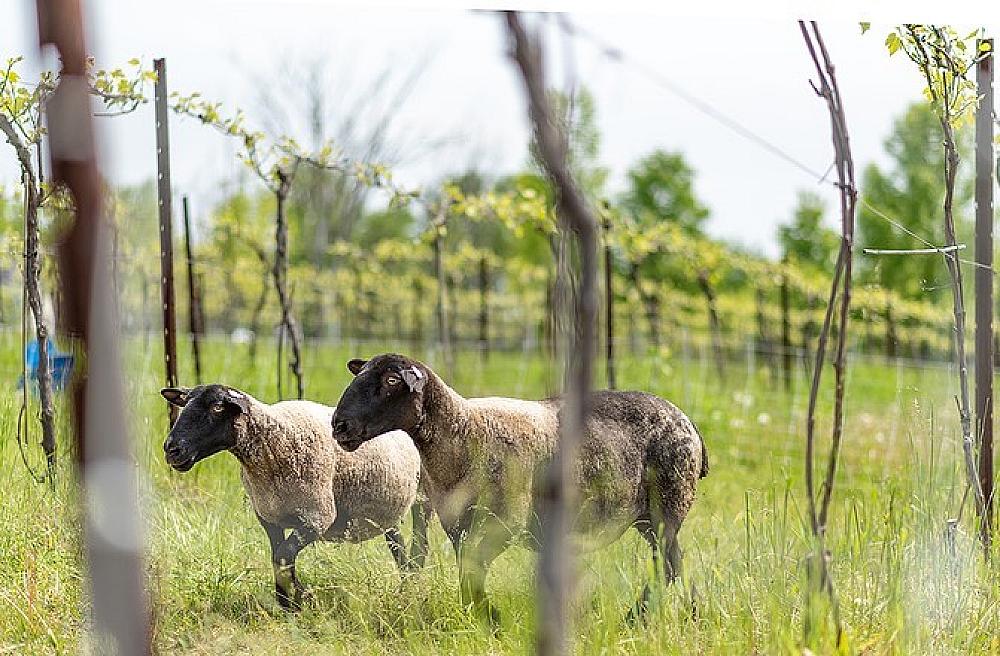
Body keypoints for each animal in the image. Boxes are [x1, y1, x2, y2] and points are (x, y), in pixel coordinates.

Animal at [160, 383, 429, 610]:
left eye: (217, 407)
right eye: (185, 404)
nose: (172, 449)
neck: (272, 442)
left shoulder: (317, 517)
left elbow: (283, 556)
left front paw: (301, 599)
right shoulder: (269, 518)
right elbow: (279, 557)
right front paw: (289, 602)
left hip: (424, 497)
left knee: (421, 541)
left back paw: (414, 580)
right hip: (387, 510)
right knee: (397, 545)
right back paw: (406, 581)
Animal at [329, 353, 709, 624]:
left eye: (392, 380)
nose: (339, 425)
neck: (464, 430)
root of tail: (687, 420)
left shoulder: (503, 524)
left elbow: (473, 573)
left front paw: (491, 621)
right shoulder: (458, 527)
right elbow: (467, 574)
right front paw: (477, 617)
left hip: (668, 505)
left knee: (666, 565)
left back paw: (636, 619)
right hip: (649, 518)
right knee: (673, 563)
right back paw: (673, 616)